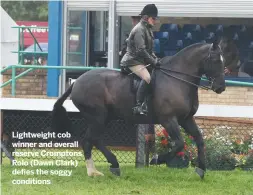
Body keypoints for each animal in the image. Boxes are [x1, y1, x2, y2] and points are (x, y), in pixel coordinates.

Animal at [51, 37, 239, 179]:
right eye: (215, 60)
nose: (221, 87)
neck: (178, 80)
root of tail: (77, 81)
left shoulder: (186, 119)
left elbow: (199, 139)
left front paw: (201, 170)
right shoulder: (168, 119)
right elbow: (179, 143)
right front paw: (157, 160)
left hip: (104, 118)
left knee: (92, 140)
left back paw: (105, 167)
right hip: (98, 117)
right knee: (90, 140)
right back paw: (99, 169)